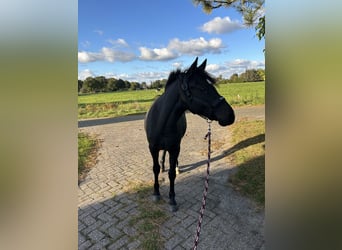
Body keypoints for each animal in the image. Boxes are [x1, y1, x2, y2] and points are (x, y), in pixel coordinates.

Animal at [144, 58, 235, 211]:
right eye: (201, 88)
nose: (230, 115)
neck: (161, 120)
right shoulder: (152, 148)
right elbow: (155, 169)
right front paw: (156, 193)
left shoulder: (175, 148)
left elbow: (171, 174)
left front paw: (172, 199)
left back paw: (176, 167)